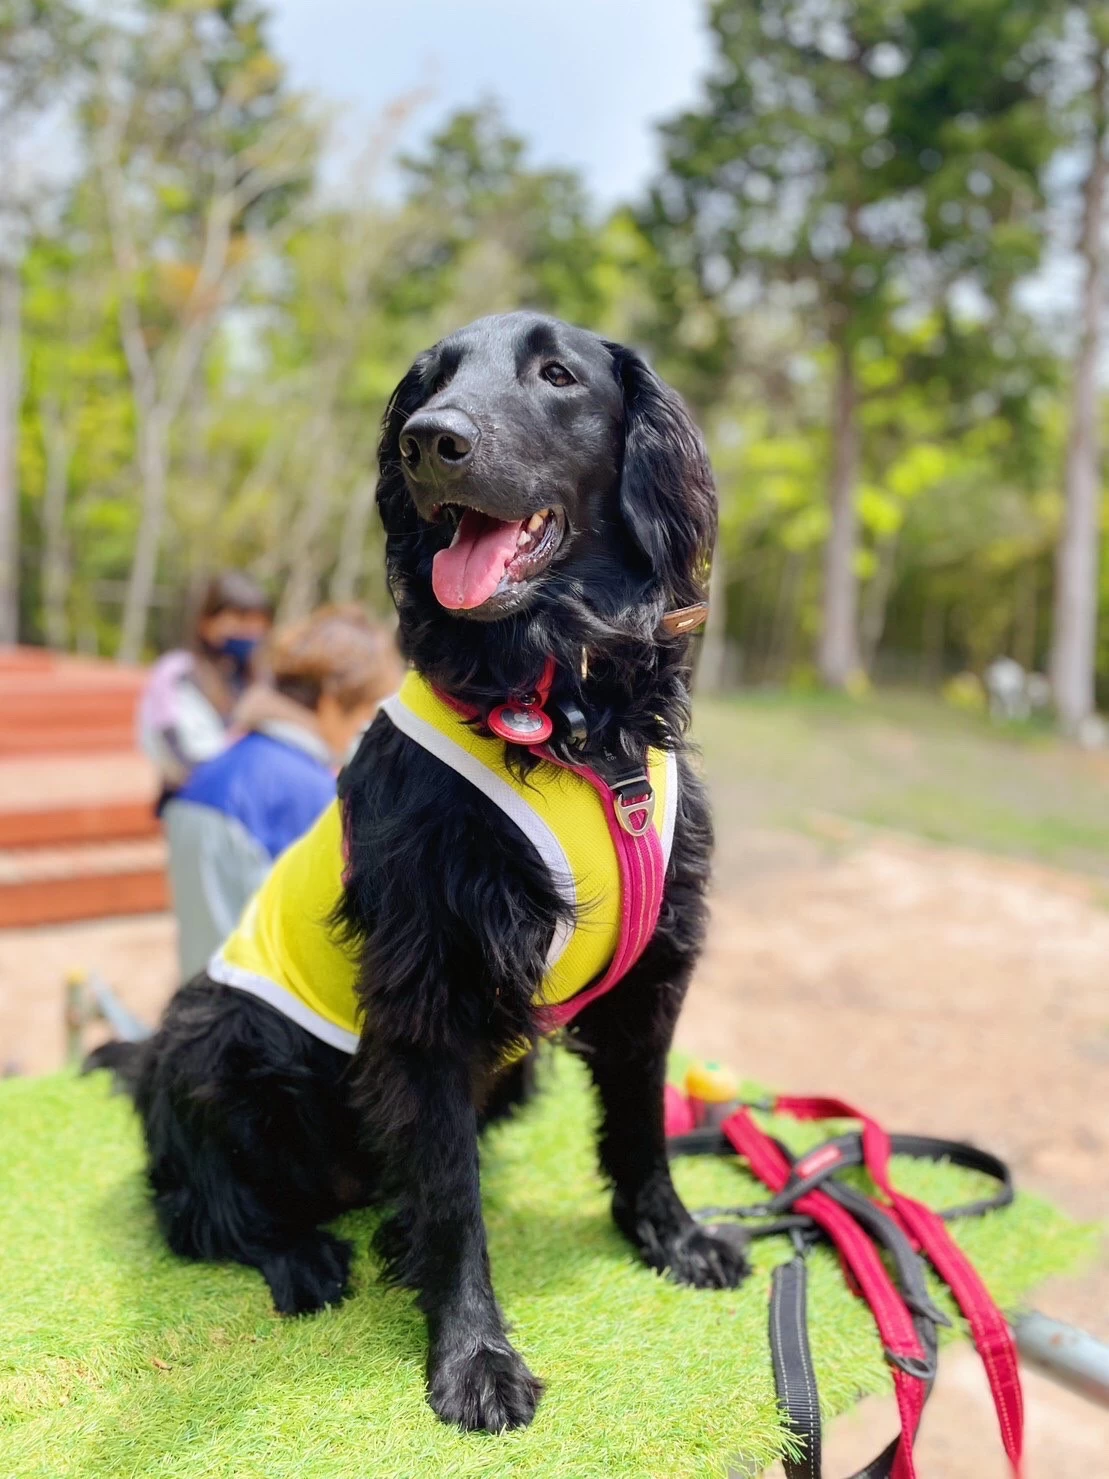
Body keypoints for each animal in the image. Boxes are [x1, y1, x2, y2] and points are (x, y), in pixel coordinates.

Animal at [86, 312, 748, 1431]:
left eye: (556, 374)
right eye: (425, 384)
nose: (427, 443)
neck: (562, 719)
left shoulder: (653, 969)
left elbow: (640, 1124)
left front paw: (671, 1235)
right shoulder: (431, 983)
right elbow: (452, 1197)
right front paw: (474, 1358)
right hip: (214, 1031)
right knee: (196, 1208)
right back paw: (304, 1256)